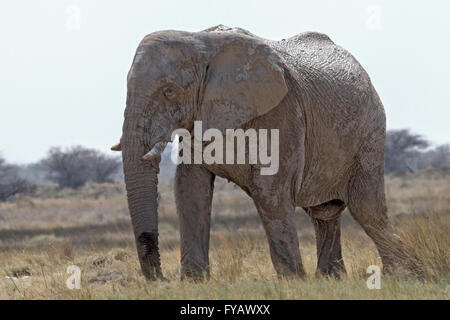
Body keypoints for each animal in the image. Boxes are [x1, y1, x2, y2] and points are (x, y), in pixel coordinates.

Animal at [110, 24, 420, 280]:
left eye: (169, 91)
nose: (160, 278)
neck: (201, 41)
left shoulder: (282, 110)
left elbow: (269, 189)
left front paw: (293, 281)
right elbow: (190, 188)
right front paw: (195, 283)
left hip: (369, 130)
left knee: (366, 209)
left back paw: (404, 276)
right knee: (325, 214)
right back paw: (331, 279)